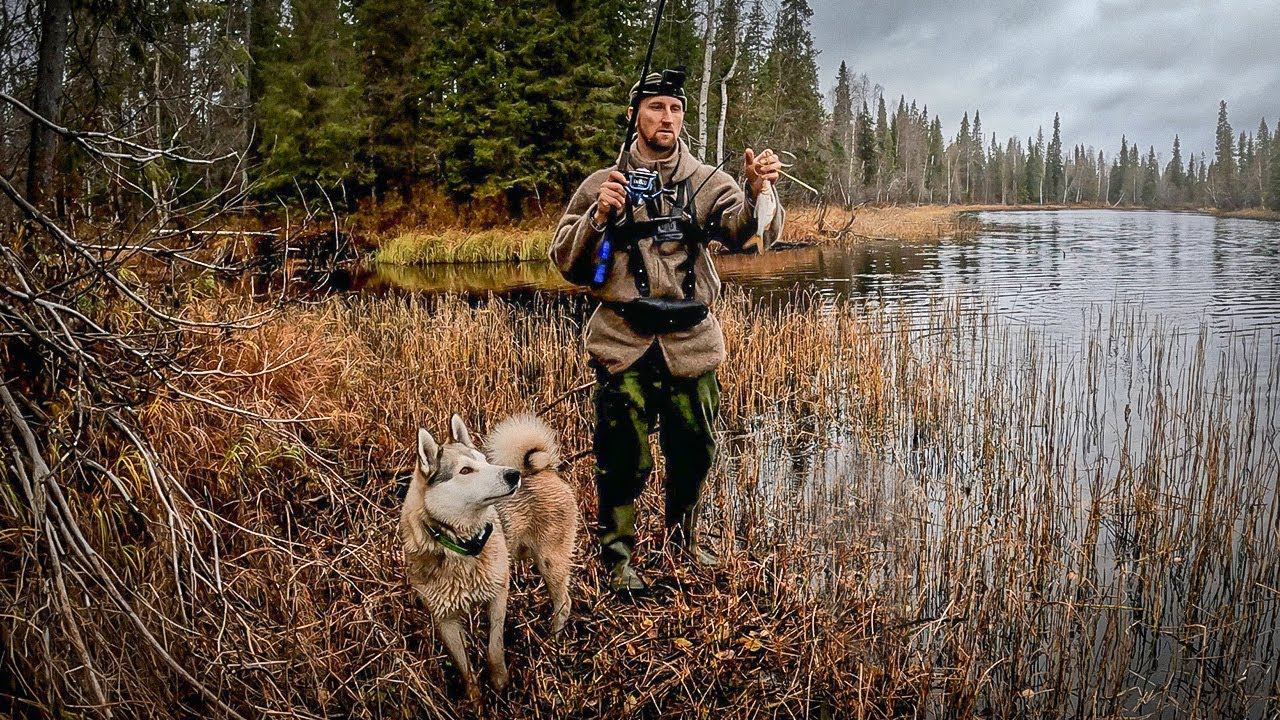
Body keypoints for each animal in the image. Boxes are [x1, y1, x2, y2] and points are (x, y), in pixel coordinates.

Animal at [401, 412, 578, 696]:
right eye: (465, 470)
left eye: (484, 461)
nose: (513, 475)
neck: (462, 547)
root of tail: (540, 469)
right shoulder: (445, 619)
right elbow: (465, 669)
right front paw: (476, 699)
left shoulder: (498, 595)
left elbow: (494, 649)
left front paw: (501, 685)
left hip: (551, 563)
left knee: (564, 604)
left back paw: (551, 644)